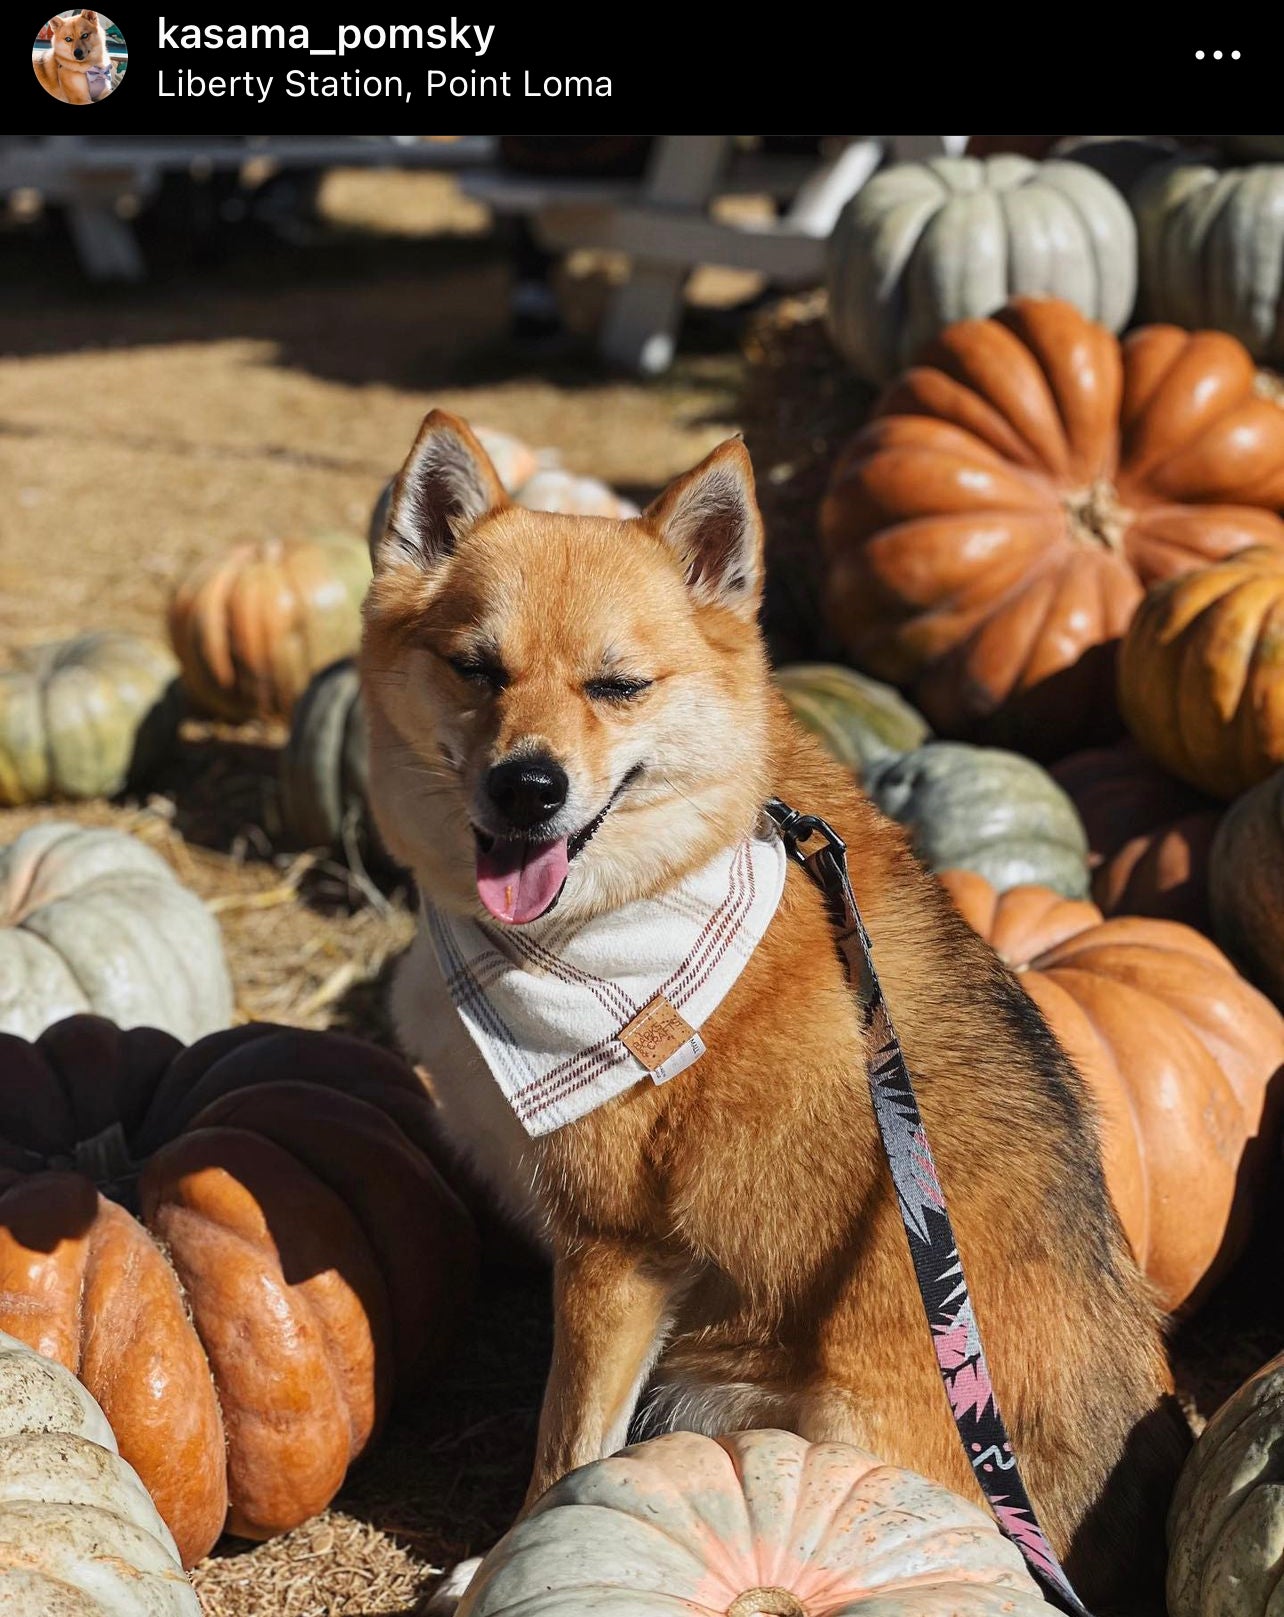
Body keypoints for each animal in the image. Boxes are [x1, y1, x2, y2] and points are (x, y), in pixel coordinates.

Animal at [357, 410, 1183, 1610]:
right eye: (477, 668)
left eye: (617, 686)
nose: (528, 786)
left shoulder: (616, 1254)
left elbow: (568, 1449)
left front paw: (496, 1567)